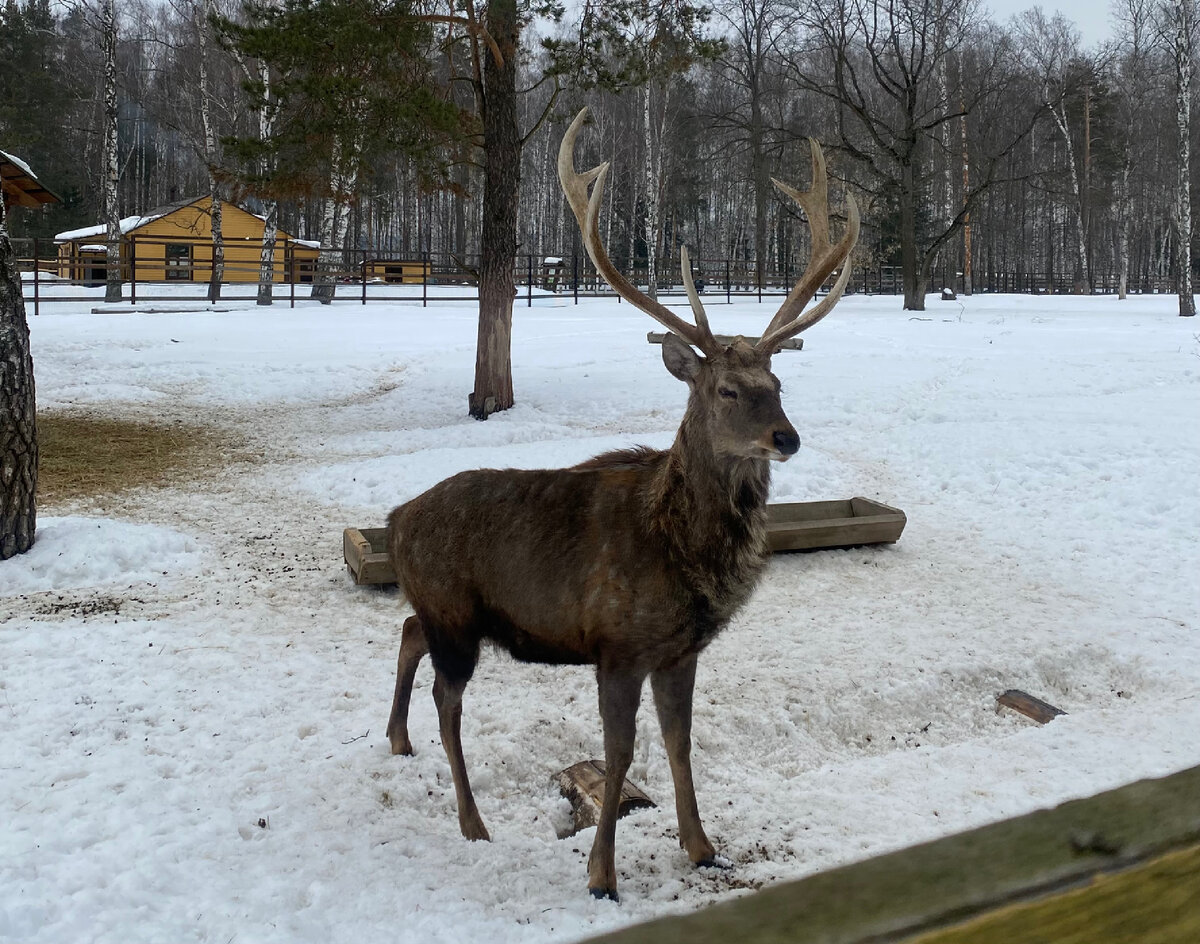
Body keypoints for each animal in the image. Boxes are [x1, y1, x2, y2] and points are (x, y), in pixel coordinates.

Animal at [379, 104, 859, 902]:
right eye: (726, 389)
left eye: (778, 384)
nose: (786, 437)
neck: (682, 553)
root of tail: (394, 518)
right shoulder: (616, 647)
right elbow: (622, 750)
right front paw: (602, 874)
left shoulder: (680, 651)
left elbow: (680, 742)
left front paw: (702, 846)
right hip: (457, 612)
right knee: (449, 702)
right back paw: (471, 821)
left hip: (452, 614)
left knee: (409, 632)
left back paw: (396, 737)